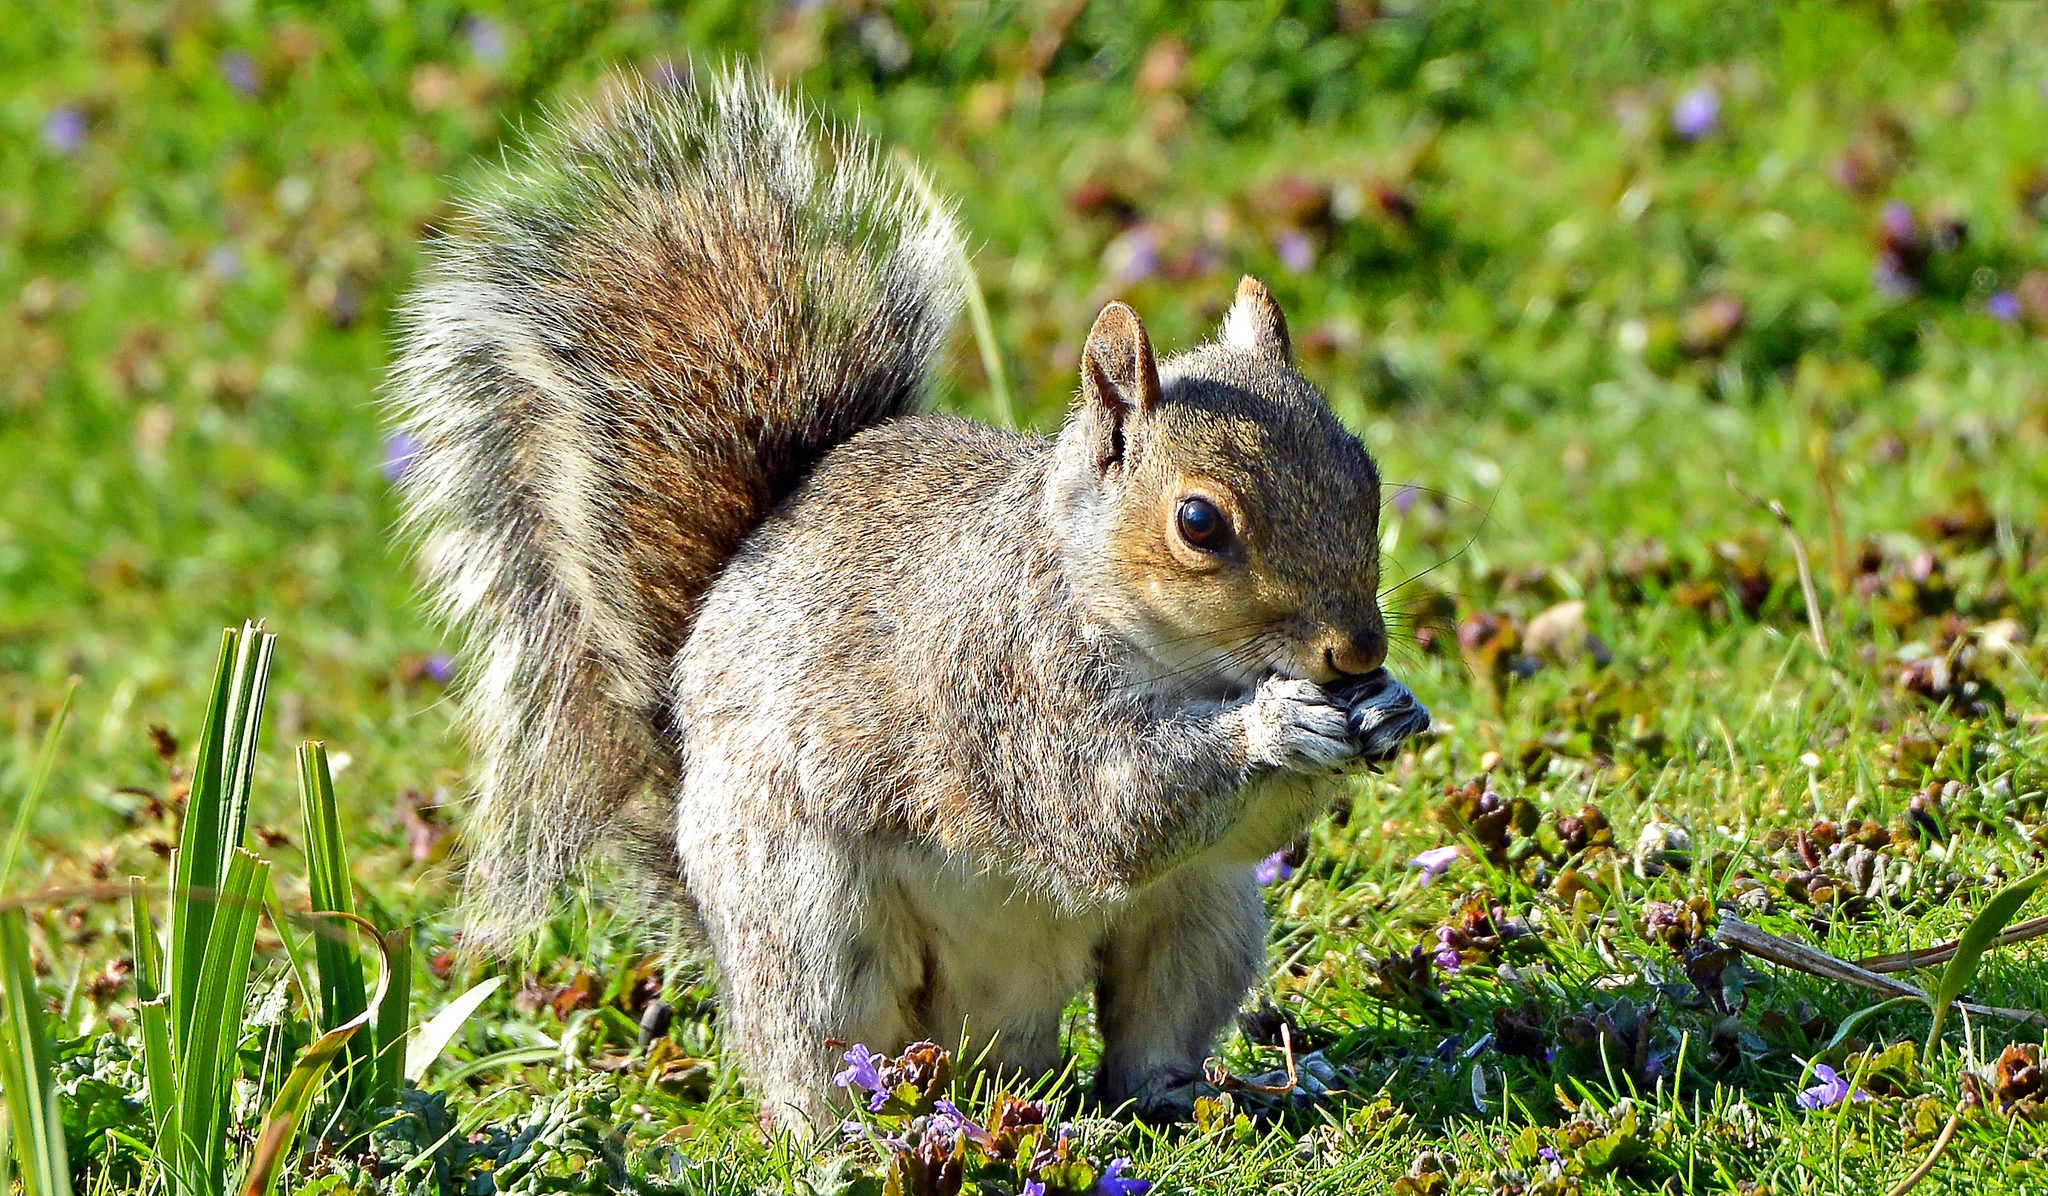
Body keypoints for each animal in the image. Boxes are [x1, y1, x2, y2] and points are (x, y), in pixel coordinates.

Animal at [391, 65, 1433, 1130]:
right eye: (1198, 523)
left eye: (1365, 473)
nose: (1356, 653)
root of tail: (994, 1043)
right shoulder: (1003, 687)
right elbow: (1106, 809)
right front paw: (1277, 725)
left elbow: (1248, 827)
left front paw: (1391, 710)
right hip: (809, 926)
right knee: (814, 1053)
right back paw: (844, 1134)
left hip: (1200, 919)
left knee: (1149, 1032)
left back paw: (1180, 1100)